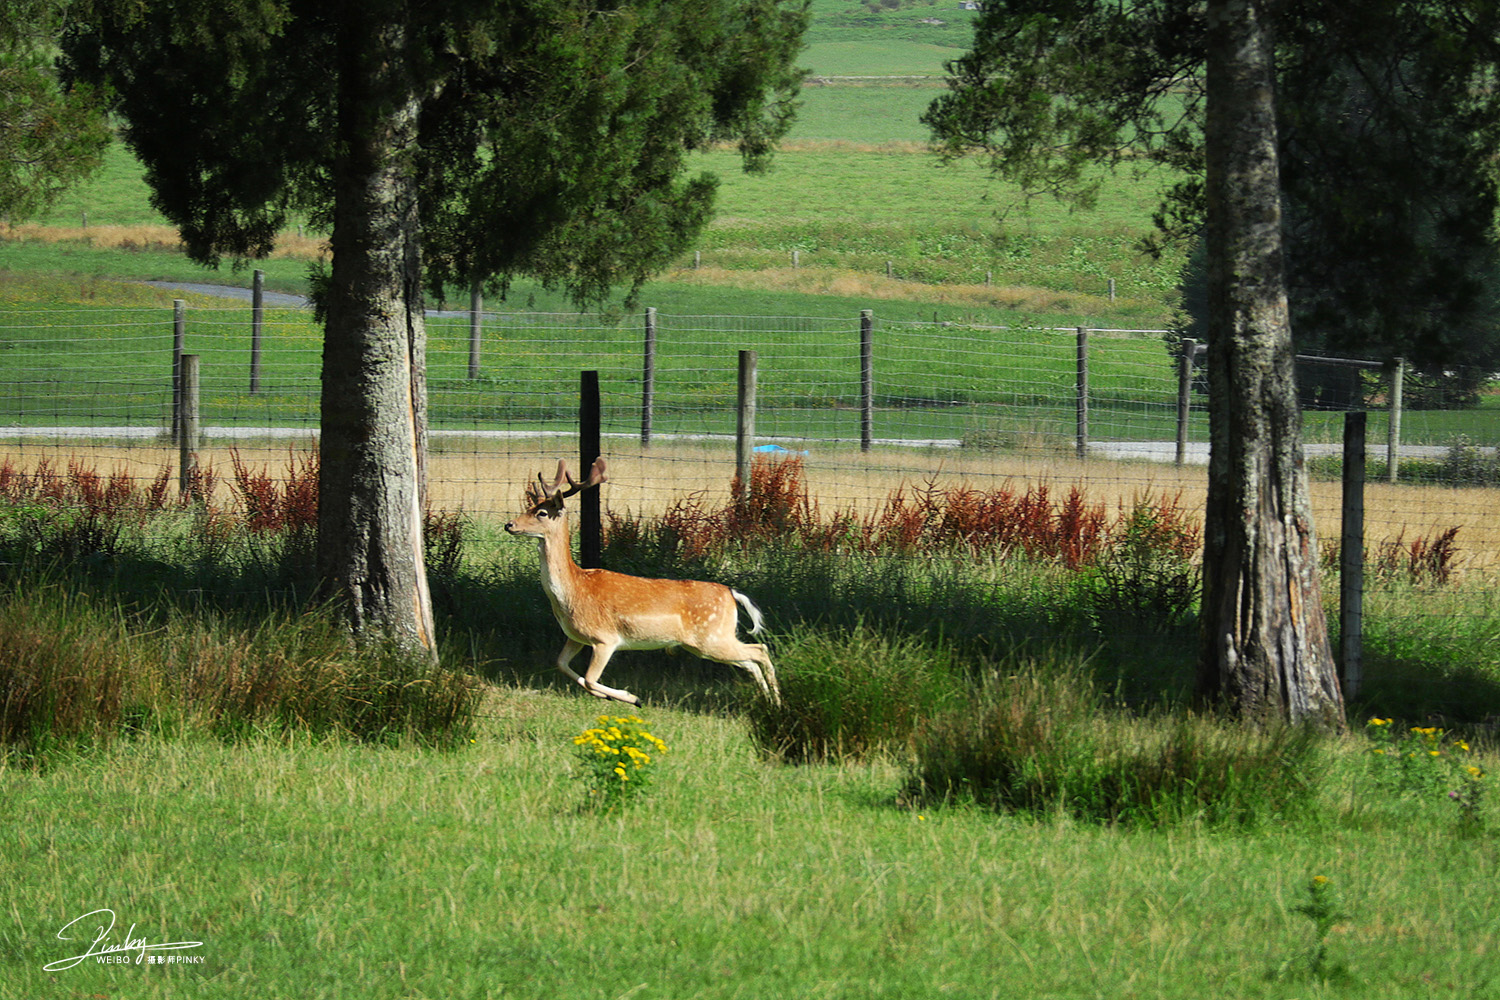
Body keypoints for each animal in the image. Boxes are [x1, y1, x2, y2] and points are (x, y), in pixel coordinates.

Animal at [507, 458, 786, 707]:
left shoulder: (605, 638)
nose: (509, 524)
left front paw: (631, 697)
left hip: (711, 638)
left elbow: (589, 679)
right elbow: (562, 665)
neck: (572, 591)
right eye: (531, 506)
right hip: (710, 642)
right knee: (751, 661)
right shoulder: (576, 636)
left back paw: (777, 703)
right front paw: (609, 696)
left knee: (760, 650)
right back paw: (768, 701)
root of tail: (731, 593)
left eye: (542, 512)